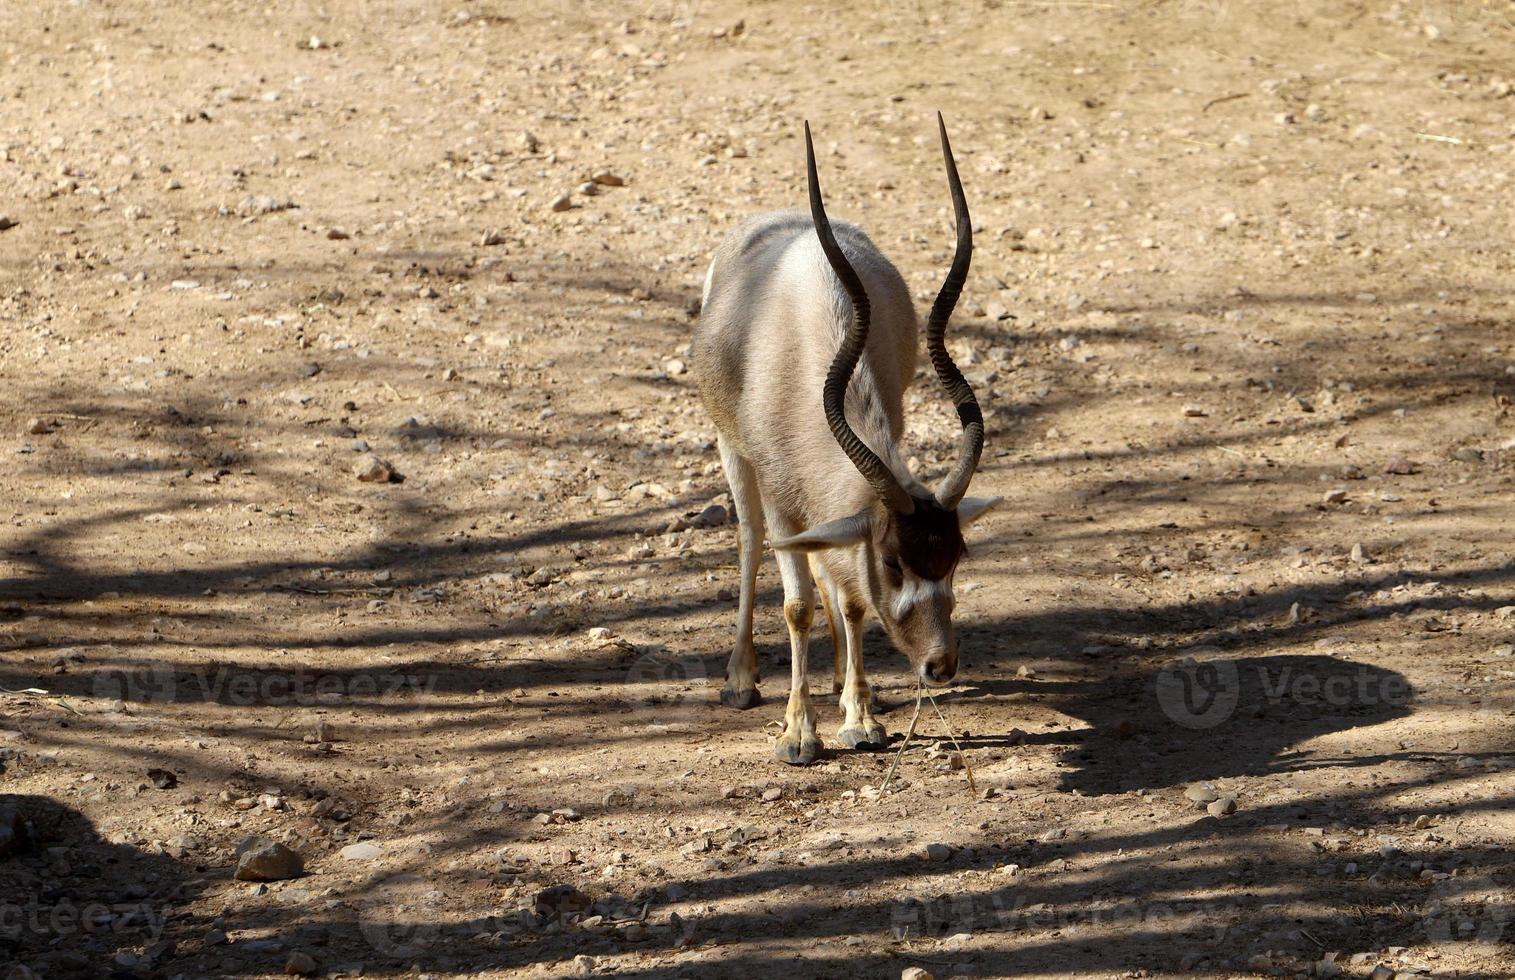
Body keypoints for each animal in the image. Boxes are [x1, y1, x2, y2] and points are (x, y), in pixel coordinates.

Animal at [693, 112, 999, 766]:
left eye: (955, 556)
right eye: (892, 560)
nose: (940, 666)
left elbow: (852, 599)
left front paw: (859, 717)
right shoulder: (782, 498)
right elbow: (797, 603)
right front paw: (797, 733)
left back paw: (839, 680)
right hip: (734, 452)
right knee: (750, 541)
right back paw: (741, 678)